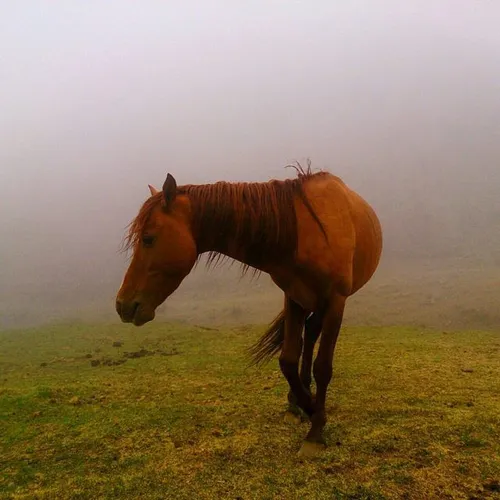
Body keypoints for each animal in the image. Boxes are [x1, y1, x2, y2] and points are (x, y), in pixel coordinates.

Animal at [116, 165, 382, 458]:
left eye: (148, 239)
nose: (123, 305)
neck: (306, 232)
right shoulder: (294, 296)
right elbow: (288, 359)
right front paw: (305, 406)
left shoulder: (336, 301)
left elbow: (323, 367)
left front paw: (316, 427)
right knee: (308, 336)